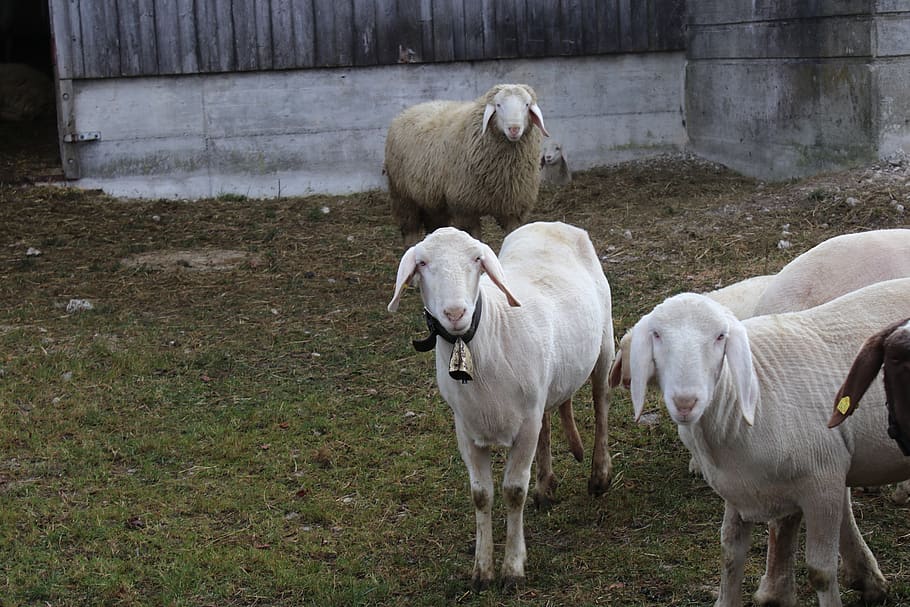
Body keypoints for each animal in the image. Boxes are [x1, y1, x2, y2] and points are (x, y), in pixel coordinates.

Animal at [384, 83, 549, 247]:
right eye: (498, 105)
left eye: (526, 105)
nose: (514, 129)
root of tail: (409, 109)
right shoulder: (466, 208)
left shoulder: (513, 209)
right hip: (403, 196)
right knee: (410, 230)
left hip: (432, 198)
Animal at [387, 221, 614, 591]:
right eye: (422, 263)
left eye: (477, 260)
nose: (455, 313)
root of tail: (550, 224)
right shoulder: (465, 429)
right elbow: (481, 494)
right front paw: (482, 571)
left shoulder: (524, 428)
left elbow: (513, 491)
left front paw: (513, 568)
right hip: (544, 387)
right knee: (548, 422)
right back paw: (545, 487)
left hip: (604, 343)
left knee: (601, 405)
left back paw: (599, 475)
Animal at [626, 277, 910, 607]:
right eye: (657, 335)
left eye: (720, 336)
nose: (685, 402)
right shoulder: (738, 489)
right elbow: (730, 553)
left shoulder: (823, 484)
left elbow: (821, 571)